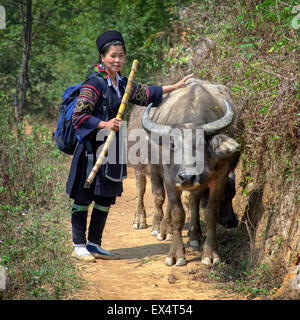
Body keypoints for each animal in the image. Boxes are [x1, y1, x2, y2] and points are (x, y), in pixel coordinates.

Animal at [126, 79, 239, 266]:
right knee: (143, 191)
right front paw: (175, 254)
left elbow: (210, 212)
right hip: (139, 168)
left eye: (201, 144)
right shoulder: (169, 177)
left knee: (192, 201)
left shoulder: (220, 176)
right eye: (172, 144)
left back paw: (193, 235)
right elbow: (176, 212)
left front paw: (210, 254)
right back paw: (144, 222)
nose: (187, 177)